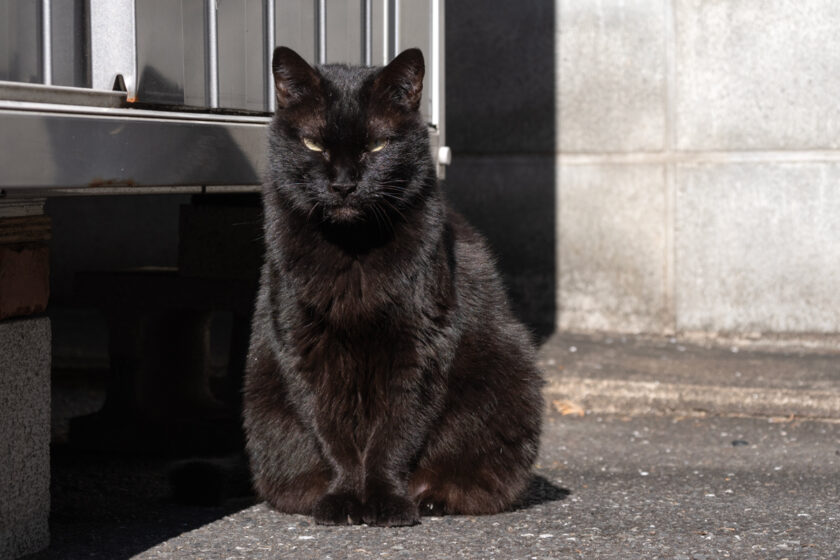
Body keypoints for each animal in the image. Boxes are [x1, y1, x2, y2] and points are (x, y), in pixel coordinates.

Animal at [243, 46, 544, 528]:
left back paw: (432, 497)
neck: (353, 253)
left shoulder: (419, 344)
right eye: (314, 145)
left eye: (377, 146)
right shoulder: (305, 347)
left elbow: (396, 431)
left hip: (511, 379)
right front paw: (344, 499)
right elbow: (332, 432)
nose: (344, 184)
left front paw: (386, 501)